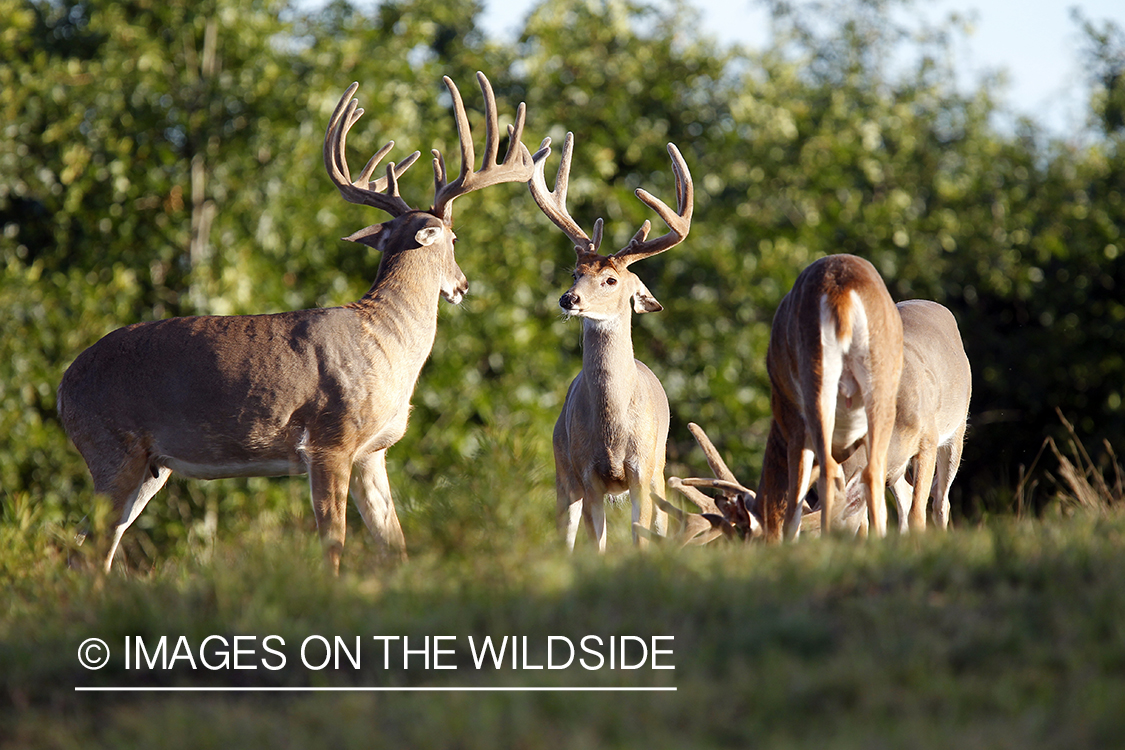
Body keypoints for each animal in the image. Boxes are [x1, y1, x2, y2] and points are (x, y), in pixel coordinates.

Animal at [57, 71, 535, 575]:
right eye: (455, 238)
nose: (463, 284)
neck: (387, 339)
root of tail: (64, 387)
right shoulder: (330, 442)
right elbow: (334, 544)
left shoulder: (372, 453)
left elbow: (394, 543)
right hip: (111, 446)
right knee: (90, 549)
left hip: (152, 465)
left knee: (88, 546)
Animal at [528, 130, 693, 550]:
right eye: (575, 273)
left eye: (611, 280)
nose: (569, 299)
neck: (613, 432)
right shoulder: (587, 474)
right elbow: (596, 543)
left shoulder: (641, 472)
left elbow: (640, 535)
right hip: (562, 469)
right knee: (565, 534)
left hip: (660, 469)